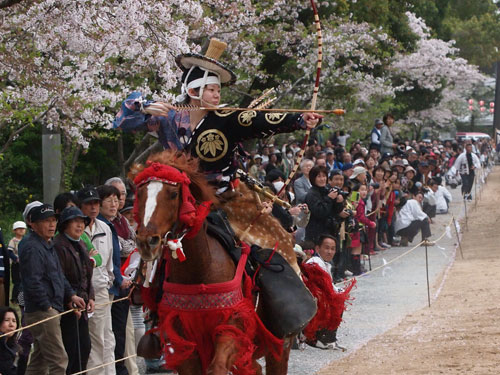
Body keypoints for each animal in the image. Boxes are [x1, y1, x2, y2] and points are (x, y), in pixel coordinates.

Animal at [132, 151, 296, 375]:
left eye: (173, 194)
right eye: (140, 194)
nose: (147, 241)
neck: (200, 272)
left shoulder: (233, 328)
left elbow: (218, 365)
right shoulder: (184, 345)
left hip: (278, 345)